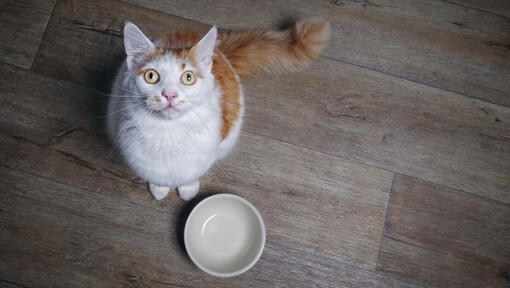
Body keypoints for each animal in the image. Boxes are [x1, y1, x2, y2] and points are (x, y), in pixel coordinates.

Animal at [107, 19, 330, 201]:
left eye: (188, 78)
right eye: (151, 76)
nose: (169, 94)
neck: (168, 133)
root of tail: (220, 51)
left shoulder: (201, 156)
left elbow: (189, 176)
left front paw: (188, 190)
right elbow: (157, 176)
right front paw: (159, 189)